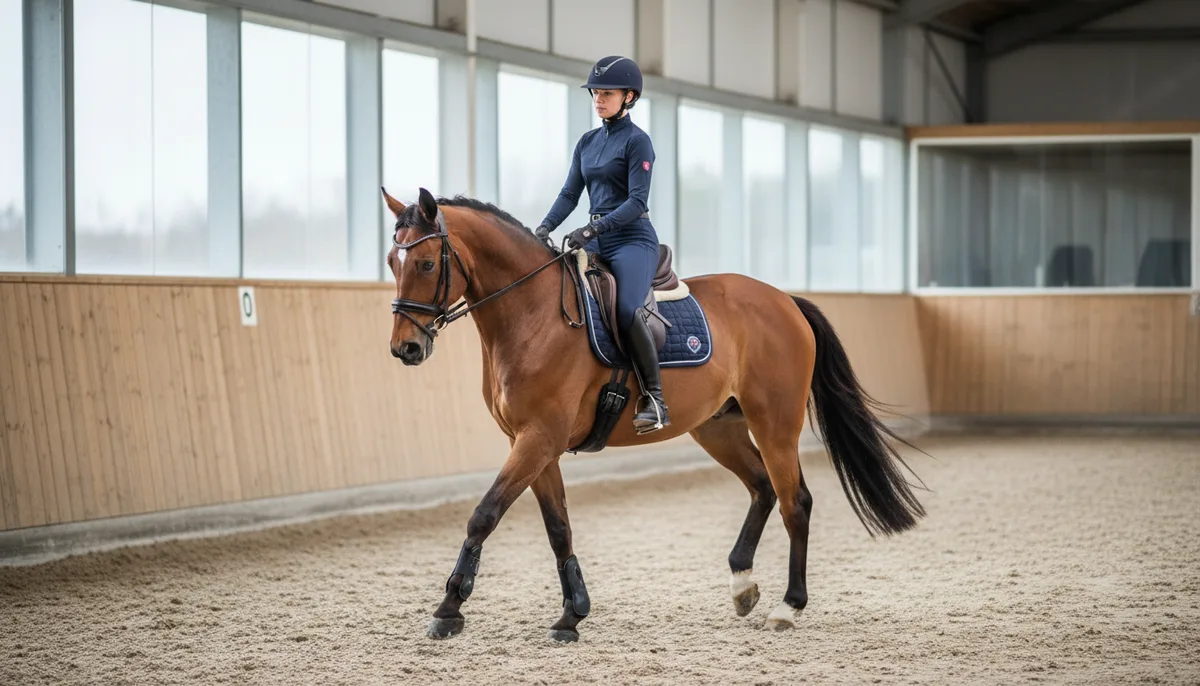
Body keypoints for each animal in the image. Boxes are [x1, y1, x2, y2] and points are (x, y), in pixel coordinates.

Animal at [382, 187, 926, 642]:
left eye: (427, 263)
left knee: (796, 502)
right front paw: (572, 614)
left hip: (774, 424)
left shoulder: (538, 438)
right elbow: (558, 528)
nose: (405, 348)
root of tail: (784, 300)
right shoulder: (534, 442)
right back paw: (742, 585)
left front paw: (449, 608)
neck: (533, 314)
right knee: (762, 488)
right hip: (718, 428)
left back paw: (788, 608)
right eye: (392, 260)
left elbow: (484, 514)